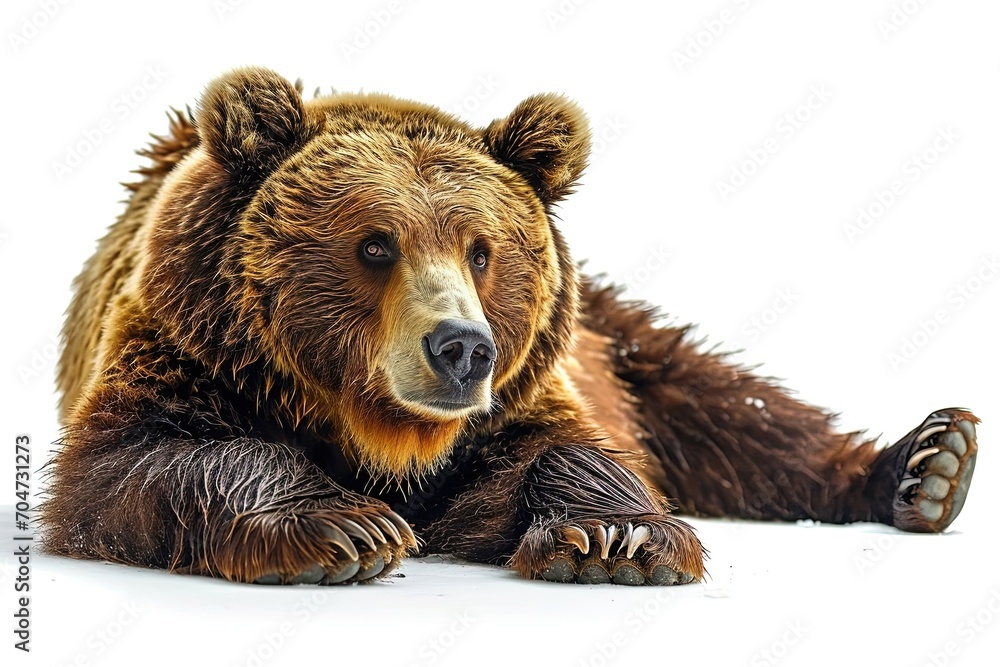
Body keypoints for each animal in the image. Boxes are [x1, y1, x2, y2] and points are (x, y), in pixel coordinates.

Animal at [42, 66, 979, 586]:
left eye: (482, 249)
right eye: (374, 243)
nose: (461, 347)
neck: (382, 433)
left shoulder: (524, 395)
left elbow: (556, 454)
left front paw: (615, 536)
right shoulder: (186, 352)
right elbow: (139, 460)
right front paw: (345, 527)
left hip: (612, 336)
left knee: (727, 406)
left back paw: (929, 464)